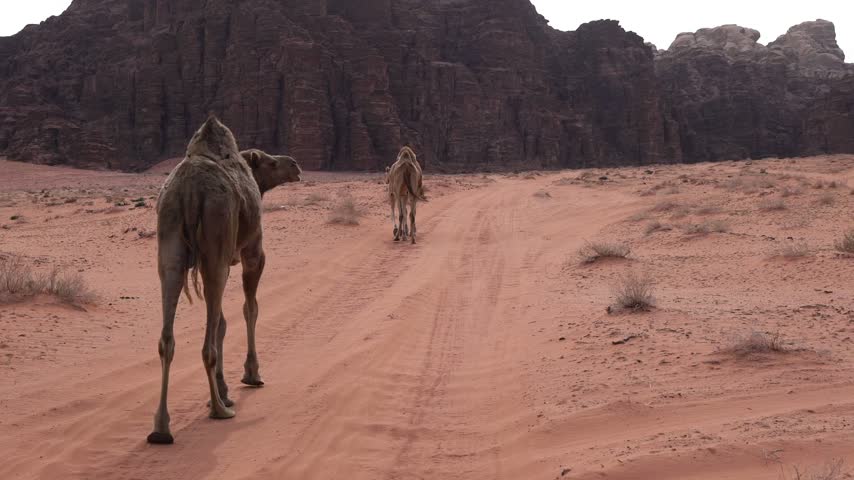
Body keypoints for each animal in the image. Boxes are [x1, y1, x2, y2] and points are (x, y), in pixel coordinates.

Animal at [147, 117, 301, 445]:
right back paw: (220, 410)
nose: (295, 165)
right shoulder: (252, 250)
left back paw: (161, 428)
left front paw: (224, 388)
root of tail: (190, 192)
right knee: (207, 343)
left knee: (167, 336)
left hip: (169, 239)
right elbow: (249, 309)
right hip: (216, 234)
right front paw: (250, 375)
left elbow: (220, 321)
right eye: (271, 163)